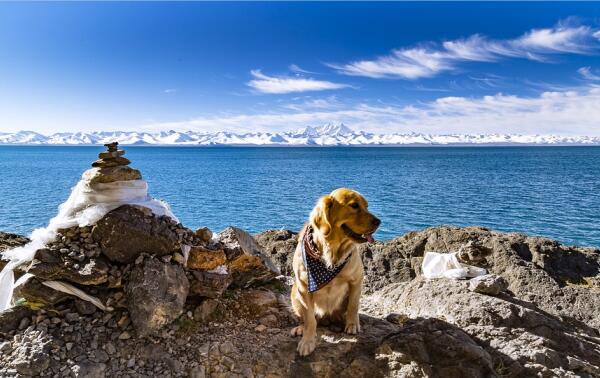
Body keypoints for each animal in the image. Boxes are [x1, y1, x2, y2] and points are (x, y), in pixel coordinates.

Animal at [290, 188, 380, 356]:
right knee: (307, 318)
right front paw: (307, 341)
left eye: (367, 206)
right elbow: (310, 319)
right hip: (294, 292)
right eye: (354, 206)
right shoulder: (304, 287)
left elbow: (353, 305)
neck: (331, 252)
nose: (378, 221)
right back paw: (300, 328)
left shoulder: (357, 279)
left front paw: (352, 324)